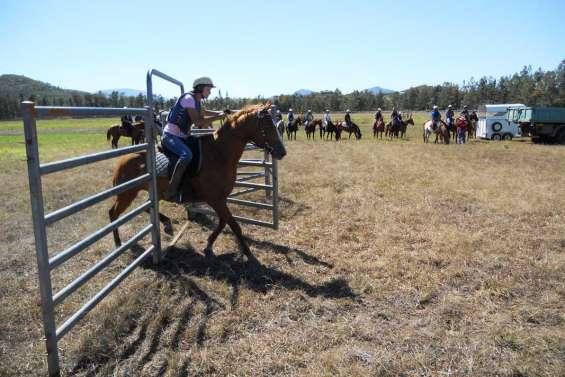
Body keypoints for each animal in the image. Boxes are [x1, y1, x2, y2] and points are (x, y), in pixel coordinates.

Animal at [108, 102, 286, 256]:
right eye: (267, 126)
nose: (282, 152)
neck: (218, 153)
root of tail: (122, 160)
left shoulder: (220, 199)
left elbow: (223, 222)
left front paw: (209, 244)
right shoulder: (215, 199)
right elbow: (234, 224)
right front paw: (247, 252)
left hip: (151, 193)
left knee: (147, 207)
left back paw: (166, 224)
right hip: (126, 195)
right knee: (113, 213)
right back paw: (118, 242)